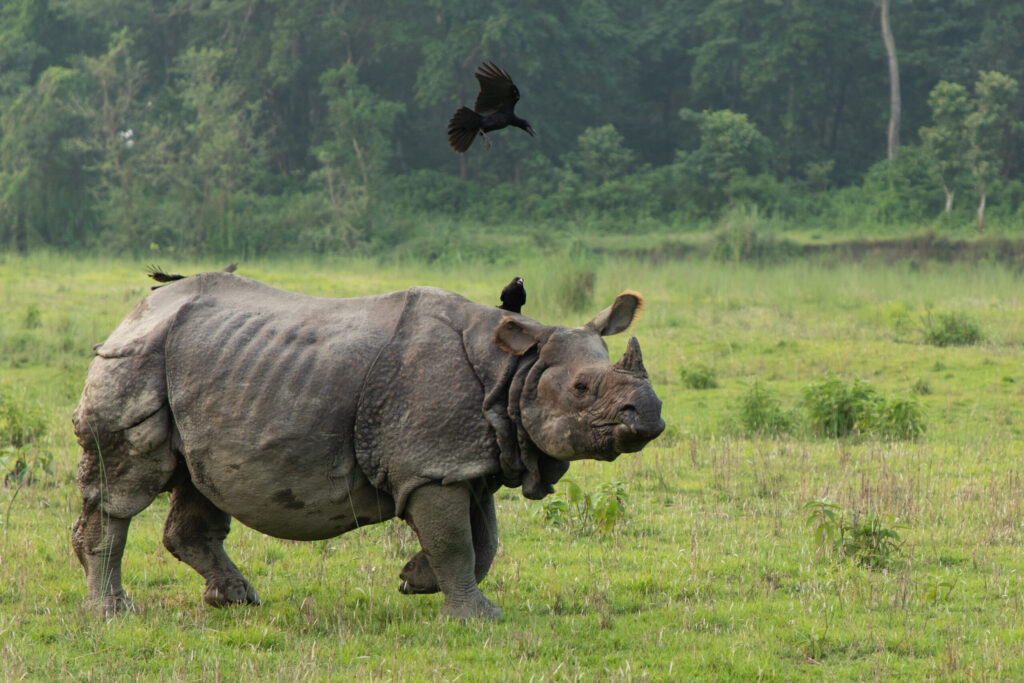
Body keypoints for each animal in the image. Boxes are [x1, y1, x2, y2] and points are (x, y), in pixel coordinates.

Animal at [71, 271, 664, 619]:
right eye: (582, 389)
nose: (652, 417)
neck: (513, 369)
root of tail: (133, 314)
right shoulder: (432, 465)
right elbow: (458, 542)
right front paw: (477, 618)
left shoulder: (465, 461)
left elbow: (485, 542)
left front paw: (415, 580)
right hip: (139, 359)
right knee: (124, 489)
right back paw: (115, 614)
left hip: (204, 367)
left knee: (199, 482)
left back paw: (236, 601)